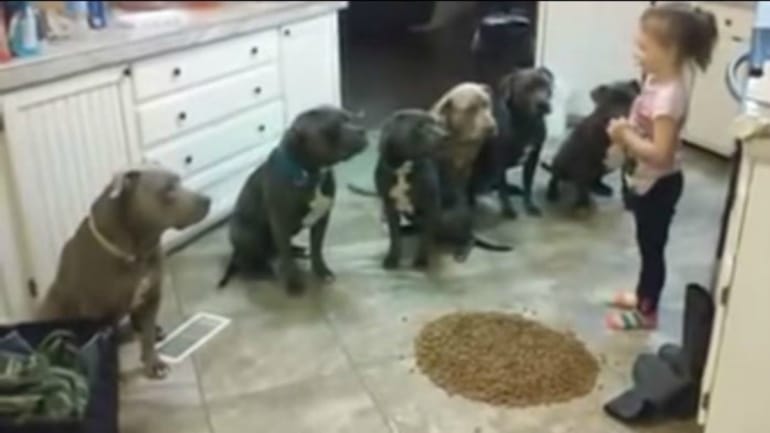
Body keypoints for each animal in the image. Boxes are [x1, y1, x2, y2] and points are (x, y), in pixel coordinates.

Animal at [39, 166, 210, 378]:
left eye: (179, 180)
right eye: (168, 188)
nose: (207, 200)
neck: (136, 251)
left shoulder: (152, 296)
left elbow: (147, 336)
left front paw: (153, 362)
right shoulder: (96, 311)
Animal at [220, 105, 368, 294]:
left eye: (350, 118)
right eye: (332, 128)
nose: (362, 130)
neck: (310, 173)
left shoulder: (321, 219)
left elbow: (317, 248)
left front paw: (322, 271)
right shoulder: (281, 223)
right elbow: (287, 258)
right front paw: (293, 283)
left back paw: (297, 251)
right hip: (247, 233)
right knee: (250, 261)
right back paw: (260, 272)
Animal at [468, 67, 552, 218]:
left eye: (545, 85)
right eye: (526, 88)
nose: (543, 104)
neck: (526, 123)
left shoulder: (532, 159)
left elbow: (528, 185)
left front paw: (530, 206)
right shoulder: (500, 162)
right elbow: (503, 189)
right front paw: (508, 209)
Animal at [544, 81, 640, 211]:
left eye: (631, 99)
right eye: (608, 103)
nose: (620, 116)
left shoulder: (628, 159)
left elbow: (625, 179)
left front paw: (628, 197)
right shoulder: (584, 162)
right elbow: (582, 188)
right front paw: (583, 204)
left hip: (606, 166)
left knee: (594, 180)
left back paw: (601, 188)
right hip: (561, 161)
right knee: (556, 178)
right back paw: (552, 192)